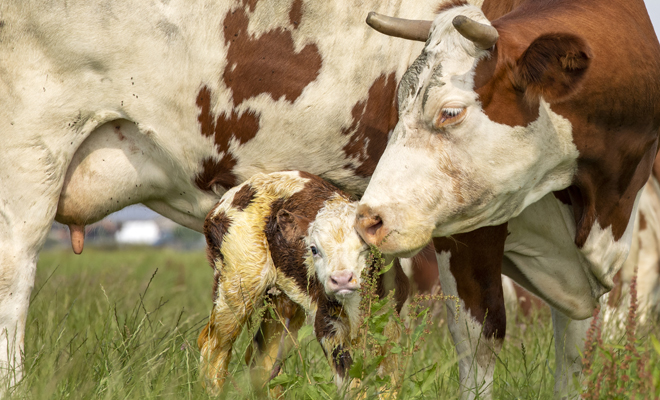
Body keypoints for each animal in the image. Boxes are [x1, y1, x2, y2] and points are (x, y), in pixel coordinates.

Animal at [197, 170, 409, 393]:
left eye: (367, 248)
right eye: (313, 249)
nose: (341, 279)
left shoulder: (390, 320)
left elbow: (389, 382)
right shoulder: (327, 323)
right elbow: (351, 382)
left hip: (282, 302)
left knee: (263, 358)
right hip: (239, 281)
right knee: (214, 345)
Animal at [356, 0, 660, 398]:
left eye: (450, 112)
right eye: (397, 107)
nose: (367, 219)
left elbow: (576, 350)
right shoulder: (469, 229)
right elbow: (477, 339)